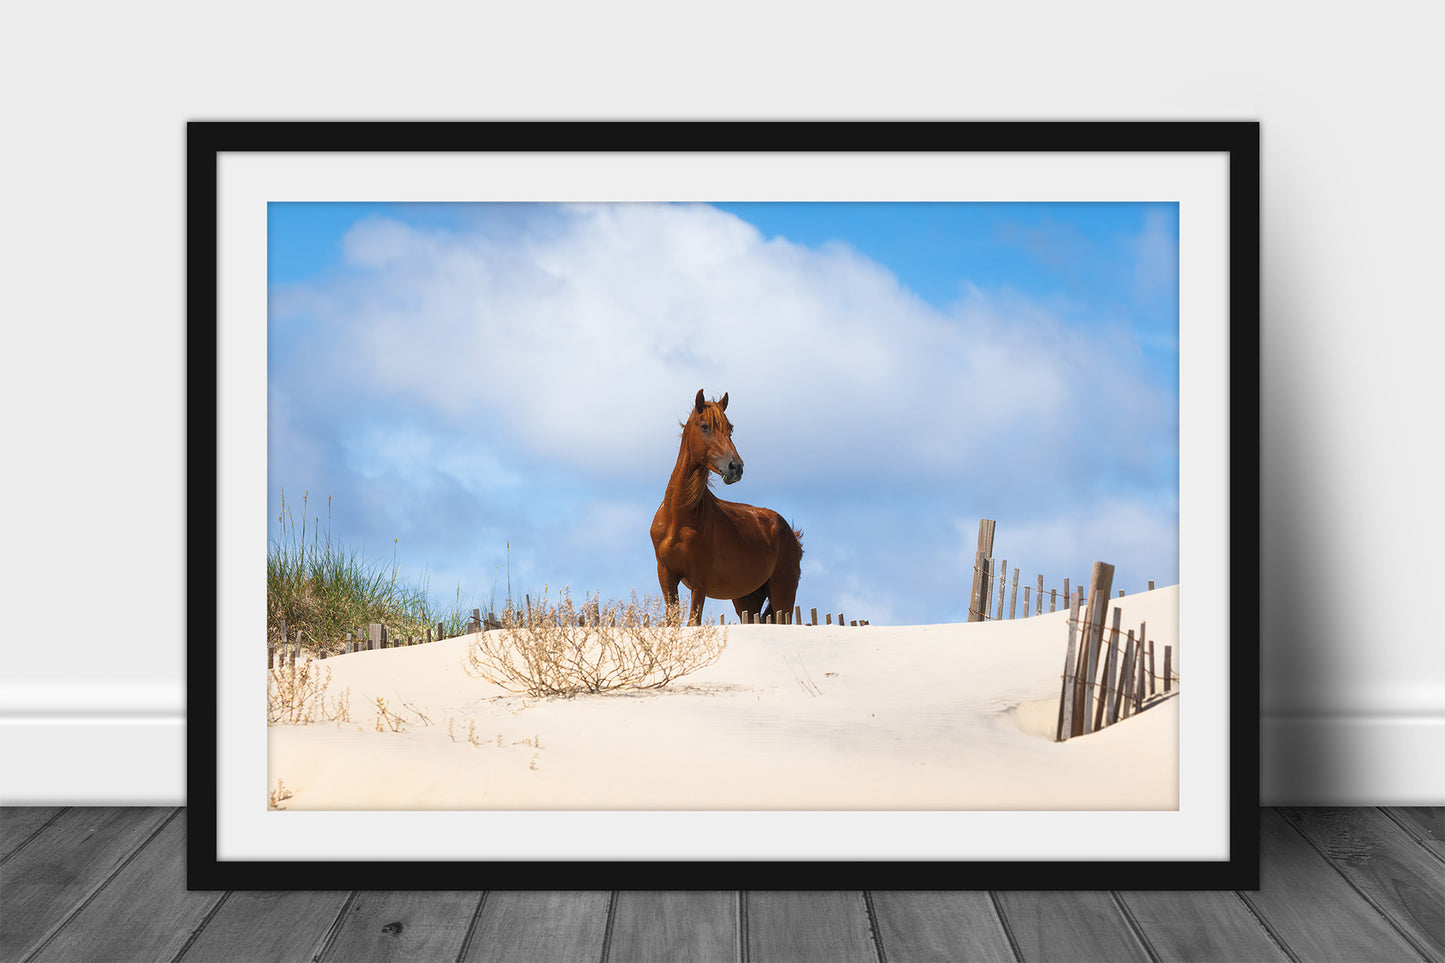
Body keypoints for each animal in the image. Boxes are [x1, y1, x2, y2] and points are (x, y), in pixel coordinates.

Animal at [650, 389, 803, 626]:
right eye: (705, 426)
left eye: (730, 429)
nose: (735, 467)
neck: (678, 516)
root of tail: (790, 532)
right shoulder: (667, 577)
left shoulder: (699, 584)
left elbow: (693, 622)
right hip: (746, 599)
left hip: (783, 592)